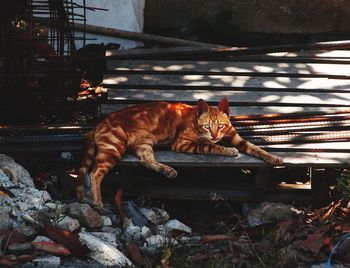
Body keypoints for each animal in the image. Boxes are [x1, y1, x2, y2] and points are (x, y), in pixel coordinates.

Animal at [76, 98, 282, 209]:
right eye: (207, 126)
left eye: (221, 126)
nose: (215, 135)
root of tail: (97, 124)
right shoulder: (182, 143)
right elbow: (211, 147)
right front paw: (228, 150)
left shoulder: (235, 137)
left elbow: (256, 148)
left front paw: (274, 157)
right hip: (114, 147)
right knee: (94, 173)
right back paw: (97, 201)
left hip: (143, 143)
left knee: (145, 160)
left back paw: (168, 171)